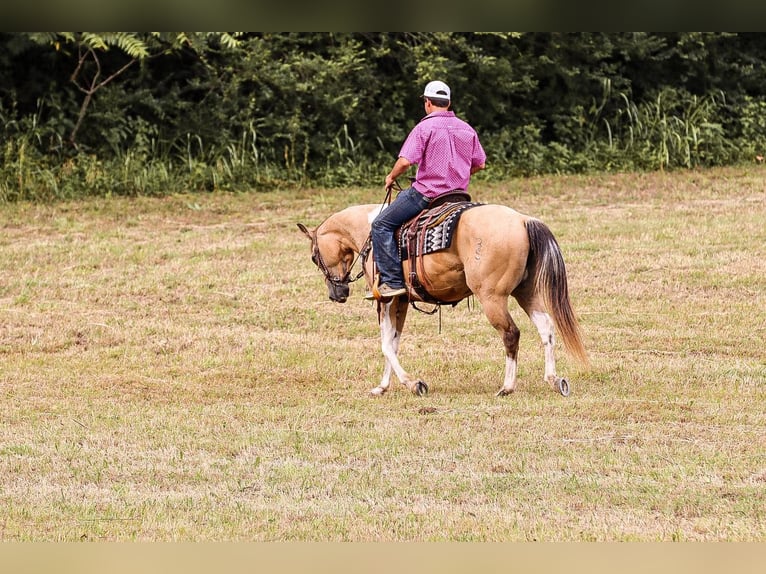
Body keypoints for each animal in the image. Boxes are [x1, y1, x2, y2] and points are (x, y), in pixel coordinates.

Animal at [296, 196, 592, 398]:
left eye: (313, 257)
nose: (337, 293)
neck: (369, 231)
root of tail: (521, 220)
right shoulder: (401, 300)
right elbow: (394, 343)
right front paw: (382, 387)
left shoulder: (384, 299)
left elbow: (385, 345)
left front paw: (413, 384)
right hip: (526, 292)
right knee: (546, 328)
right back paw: (554, 379)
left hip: (492, 297)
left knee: (511, 333)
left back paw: (507, 386)